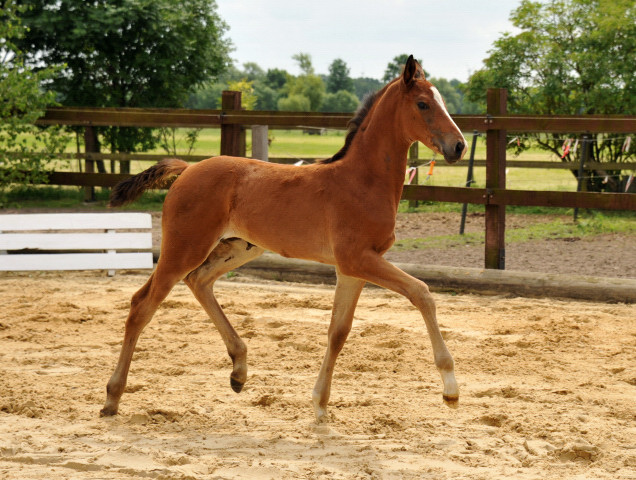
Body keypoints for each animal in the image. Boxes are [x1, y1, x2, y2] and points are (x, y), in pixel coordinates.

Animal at [100, 56, 468, 422]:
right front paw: (450, 387)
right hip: (184, 248)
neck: (361, 181)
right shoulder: (358, 259)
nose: (459, 146)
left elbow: (339, 331)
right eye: (423, 104)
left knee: (199, 281)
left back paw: (239, 370)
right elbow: (422, 293)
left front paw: (320, 403)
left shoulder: (352, 268)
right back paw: (112, 397)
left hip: (239, 247)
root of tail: (188, 169)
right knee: (142, 304)